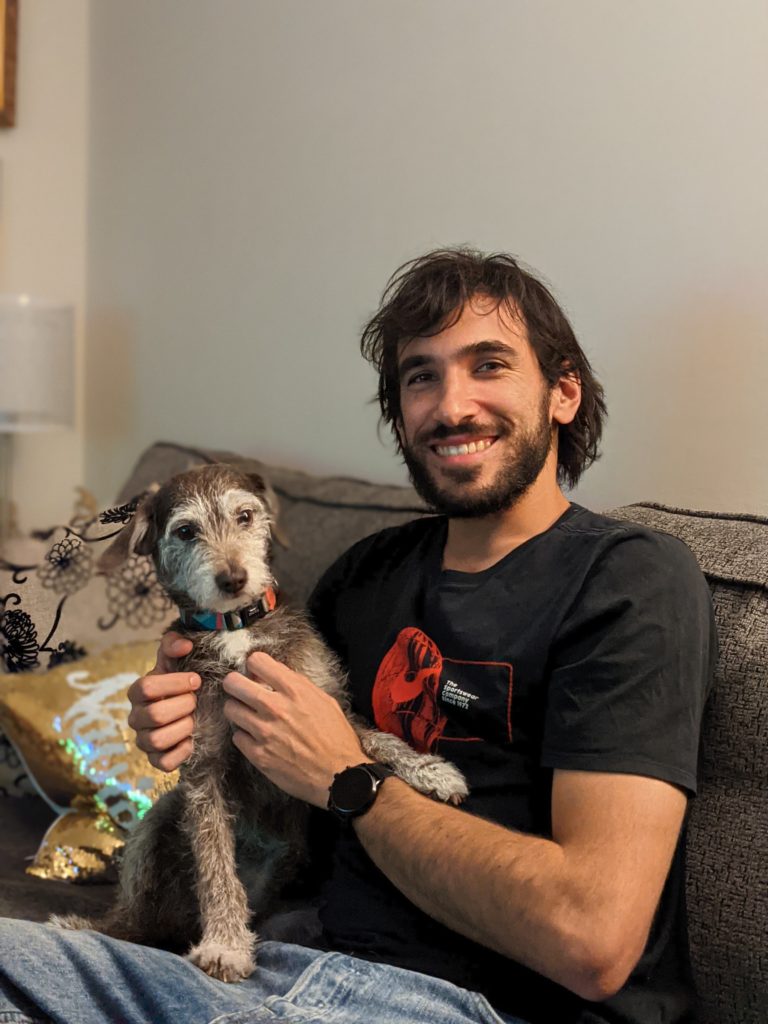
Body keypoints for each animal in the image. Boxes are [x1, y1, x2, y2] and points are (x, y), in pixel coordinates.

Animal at [52, 464, 468, 982]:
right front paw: (226, 945)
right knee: (134, 920)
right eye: (185, 532)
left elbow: (378, 739)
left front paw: (432, 772)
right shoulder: (203, 764)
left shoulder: (327, 703)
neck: (237, 629)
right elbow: (214, 863)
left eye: (245, 516)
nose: (233, 578)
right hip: (157, 824)